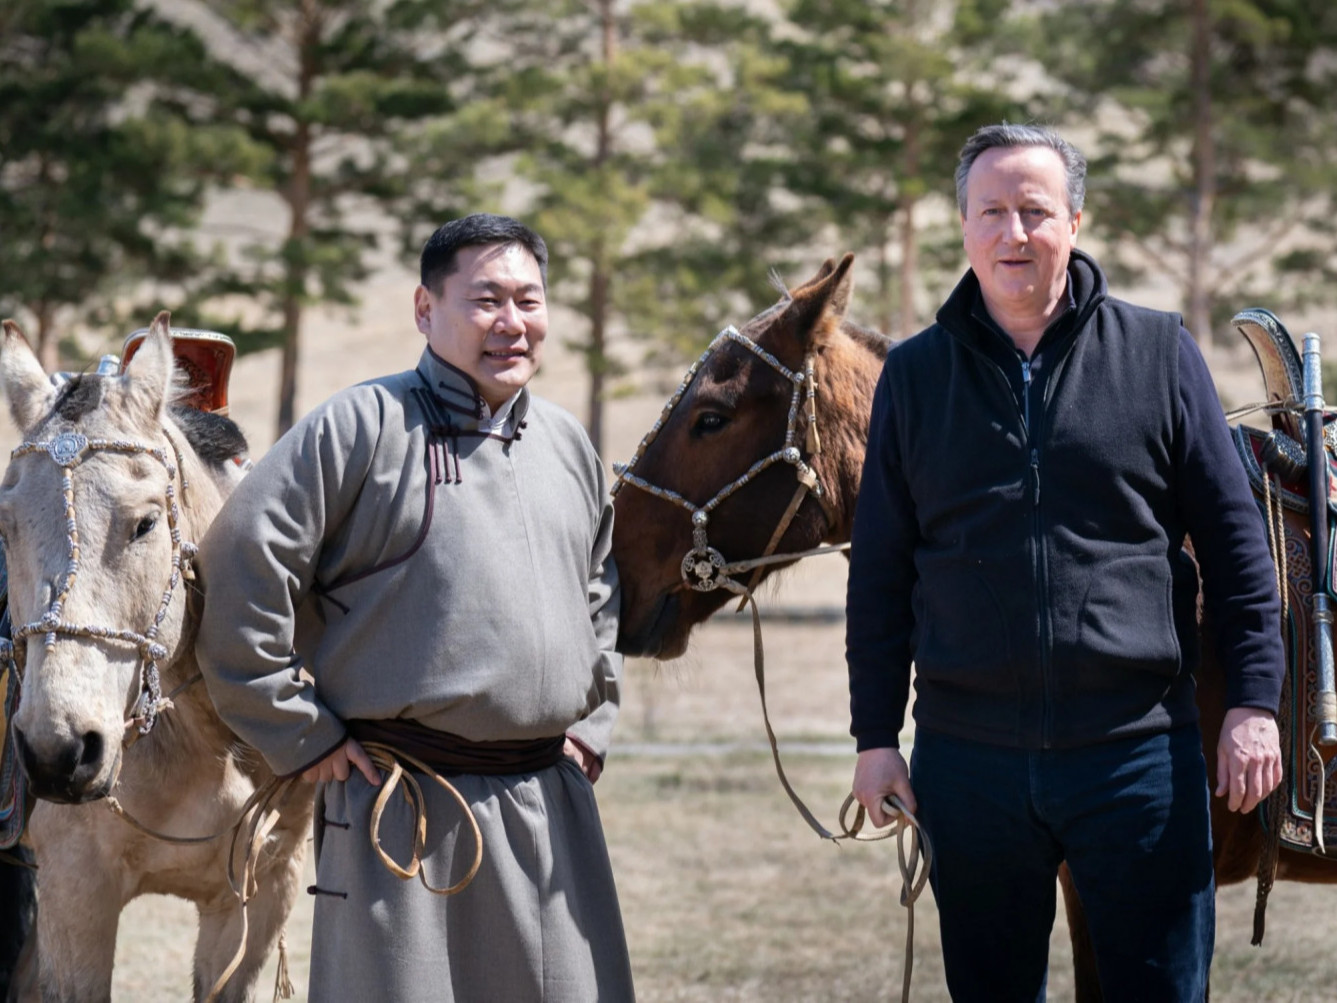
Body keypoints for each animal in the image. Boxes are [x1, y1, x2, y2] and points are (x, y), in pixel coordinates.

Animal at [0, 315, 310, 1003]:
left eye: (144, 524)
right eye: (5, 527)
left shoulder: (257, 901)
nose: (59, 750)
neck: (209, 737)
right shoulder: (75, 895)